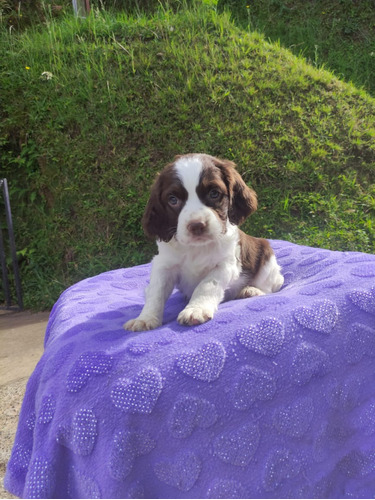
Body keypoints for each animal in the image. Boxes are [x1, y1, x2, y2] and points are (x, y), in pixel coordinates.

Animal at [125, 152, 284, 332]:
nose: (196, 225)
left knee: (271, 286)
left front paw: (196, 309)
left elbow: (207, 284)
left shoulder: (226, 264)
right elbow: (156, 292)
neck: (196, 247)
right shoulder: (164, 264)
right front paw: (145, 318)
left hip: (267, 259)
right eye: (173, 199)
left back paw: (251, 290)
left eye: (214, 193)